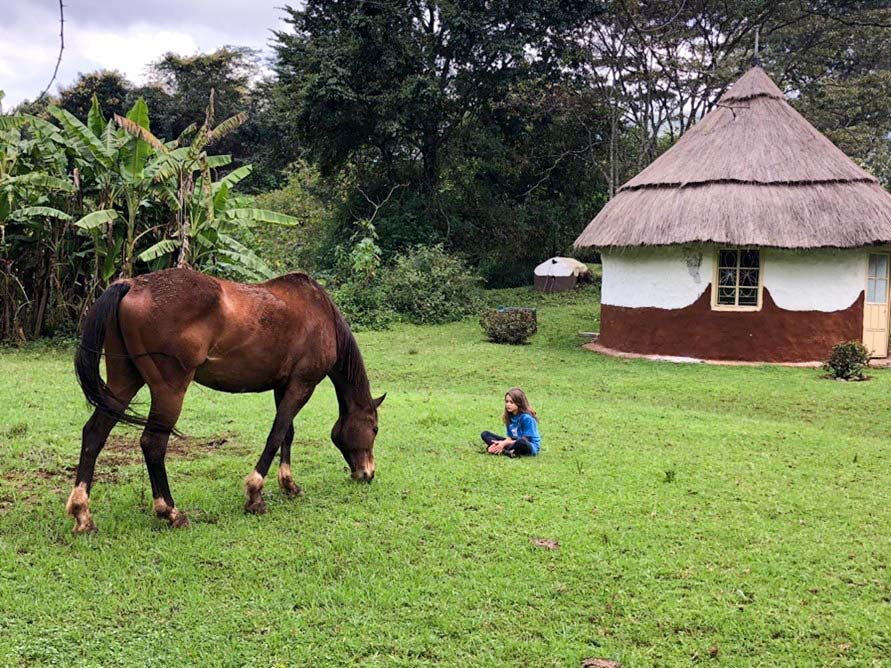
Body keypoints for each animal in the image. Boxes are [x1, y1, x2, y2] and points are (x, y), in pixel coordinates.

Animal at [62, 266, 384, 532]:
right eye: (375, 428)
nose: (367, 473)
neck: (320, 314)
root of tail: (131, 284)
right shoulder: (302, 385)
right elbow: (277, 433)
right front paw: (255, 494)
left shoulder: (285, 386)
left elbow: (287, 434)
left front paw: (289, 485)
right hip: (169, 391)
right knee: (152, 444)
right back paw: (171, 512)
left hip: (123, 383)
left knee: (94, 434)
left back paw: (82, 513)